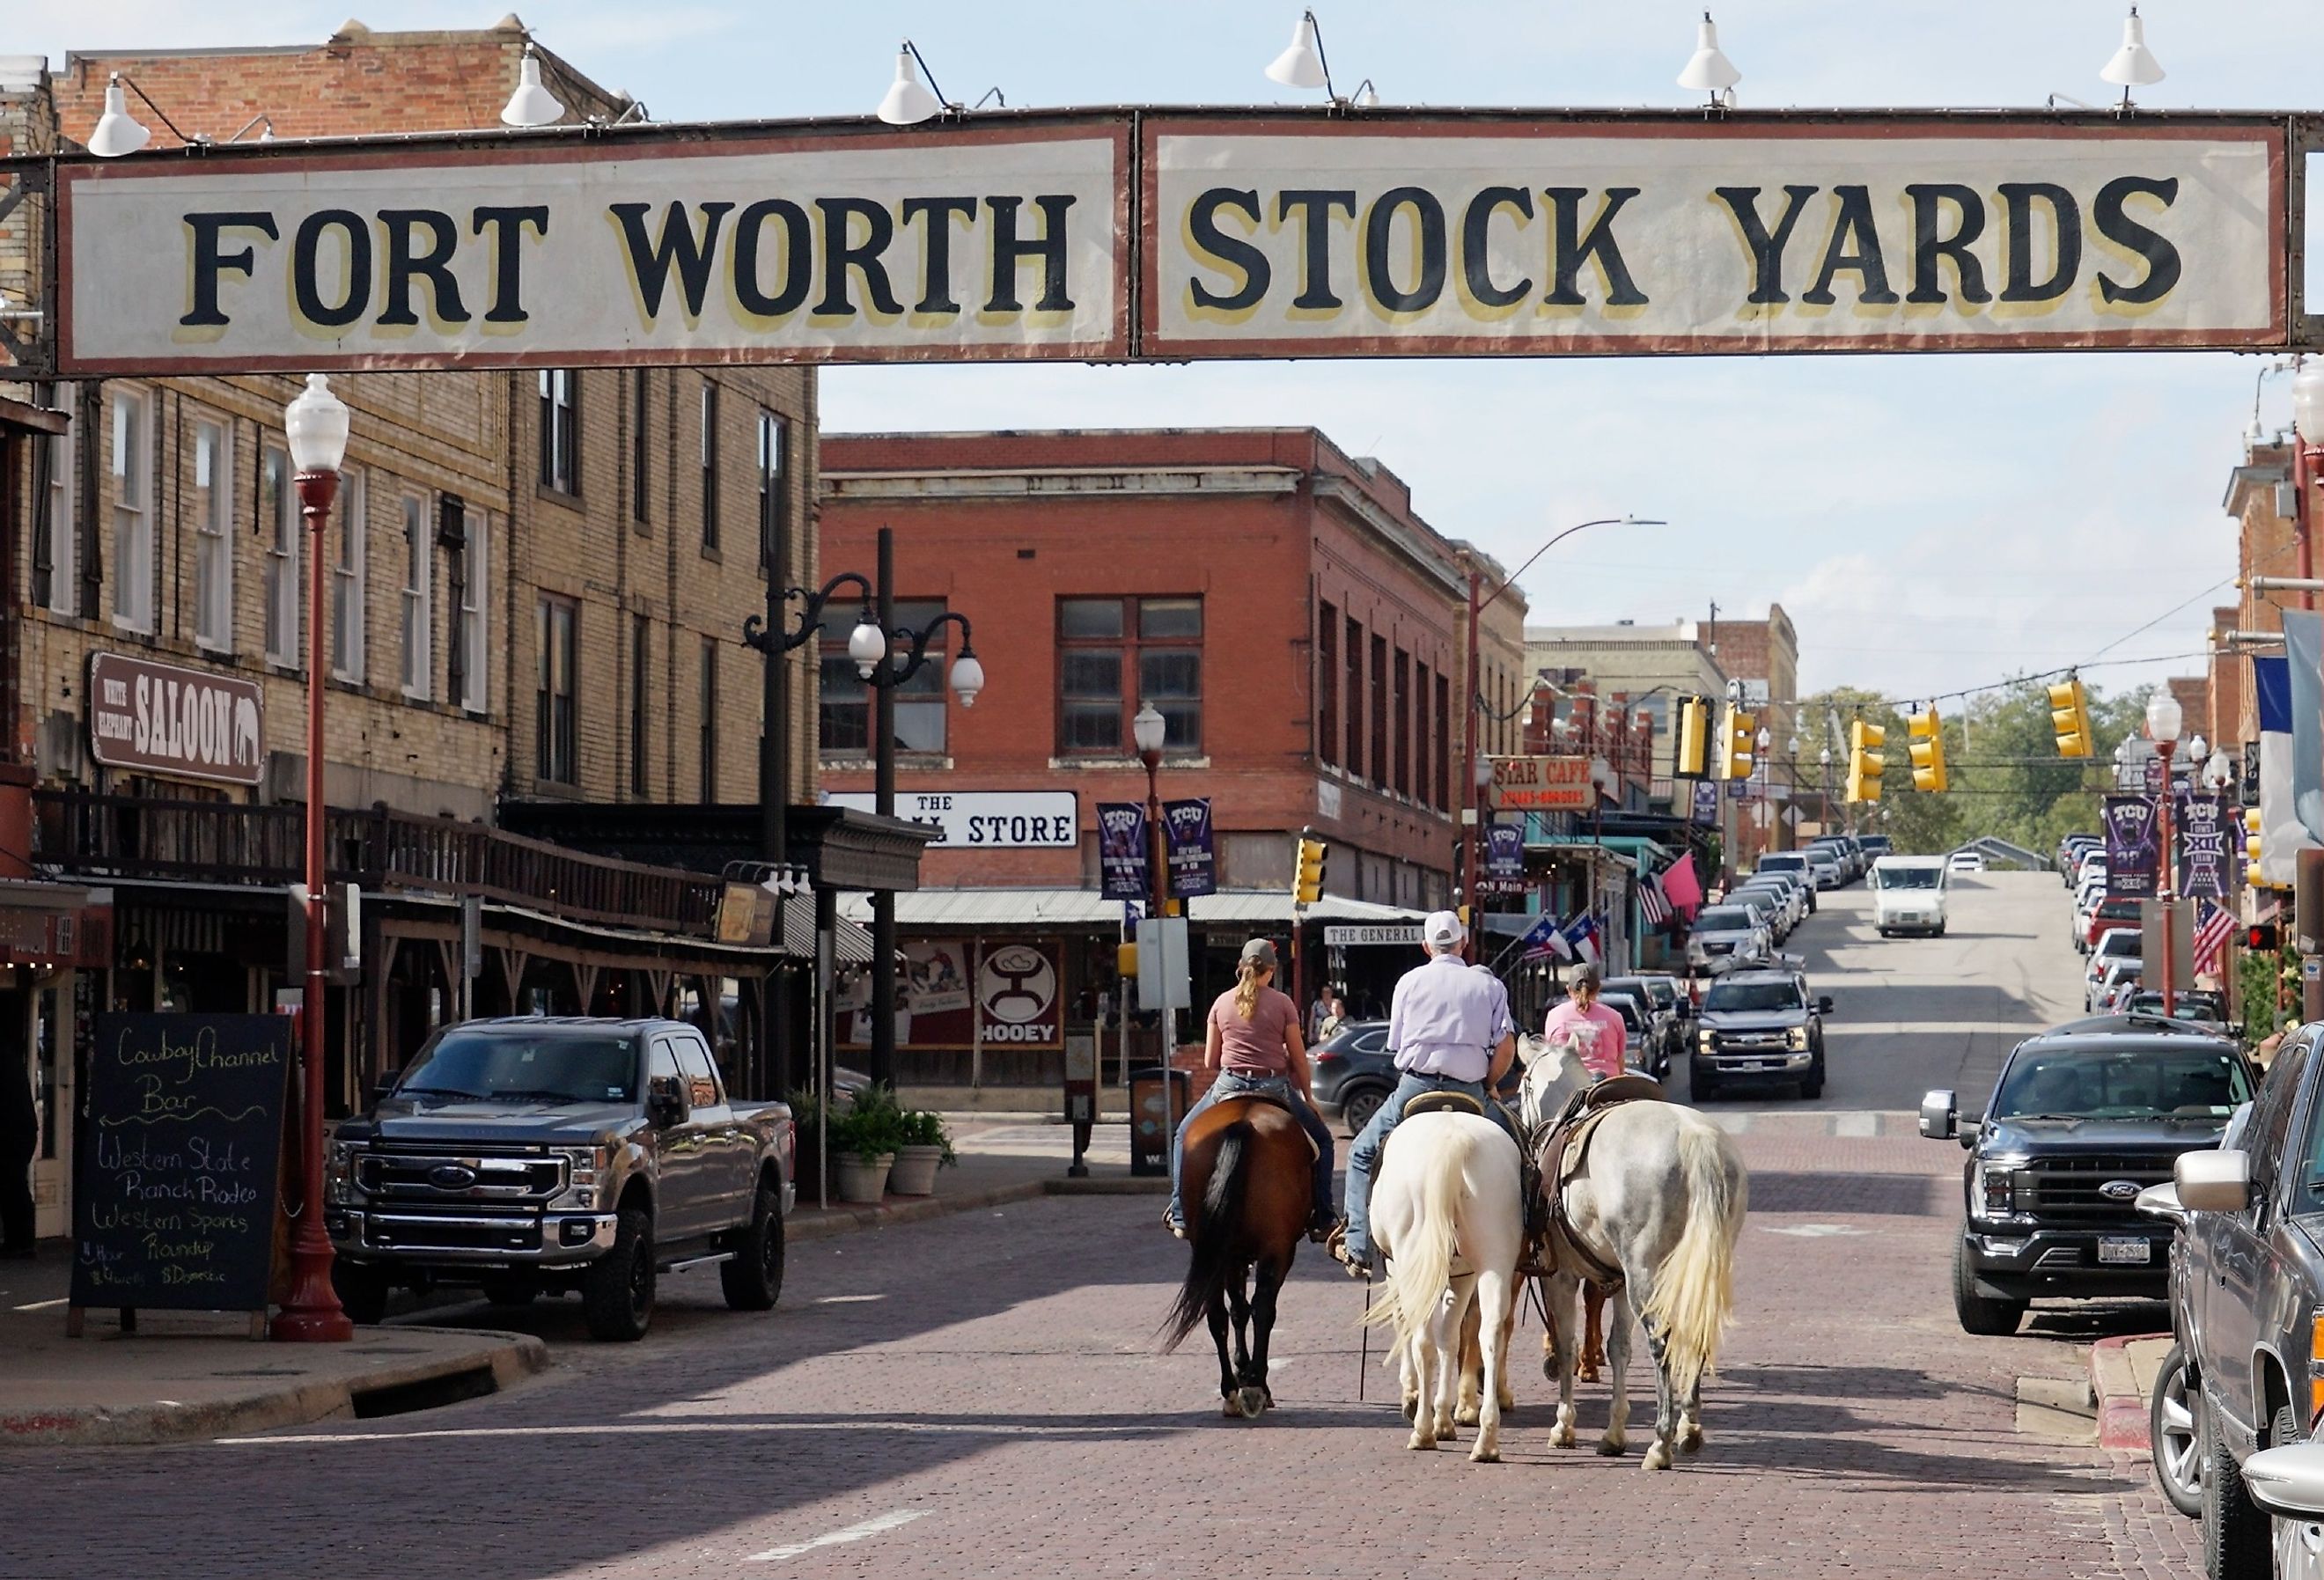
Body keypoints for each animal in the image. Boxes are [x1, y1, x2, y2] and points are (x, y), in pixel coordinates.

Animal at [1157, 1096, 1310, 1422]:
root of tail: (1242, 1122)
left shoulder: (1232, 1255)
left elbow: (1238, 1310)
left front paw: (1242, 1372)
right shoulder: (1276, 1251)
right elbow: (1252, 1309)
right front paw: (1251, 1376)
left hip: (1213, 1249)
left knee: (1217, 1314)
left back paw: (1230, 1391)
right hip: (1275, 1248)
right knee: (1263, 1309)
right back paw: (1254, 1390)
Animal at [1357, 1106, 1524, 1459]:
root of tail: (1454, 1140)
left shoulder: (1396, 1268)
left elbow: (1407, 1327)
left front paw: (1414, 1397)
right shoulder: (1463, 1276)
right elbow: (1452, 1338)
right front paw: (1445, 1418)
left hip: (1411, 1257)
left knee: (1423, 1341)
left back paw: (1422, 1431)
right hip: (1495, 1260)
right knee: (1490, 1333)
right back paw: (1486, 1438)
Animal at [1515, 1036, 1747, 1468]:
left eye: (1522, 1082)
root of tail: (1696, 1142)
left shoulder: (1562, 1277)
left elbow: (1567, 1344)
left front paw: (1564, 1426)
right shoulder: (1619, 1280)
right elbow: (1618, 1348)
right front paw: (1614, 1433)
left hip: (1645, 1272)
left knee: (1661, 1340)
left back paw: (1661, 1441)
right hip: (1693, 1266)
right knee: (1694, 1332)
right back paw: (1689, 1429)